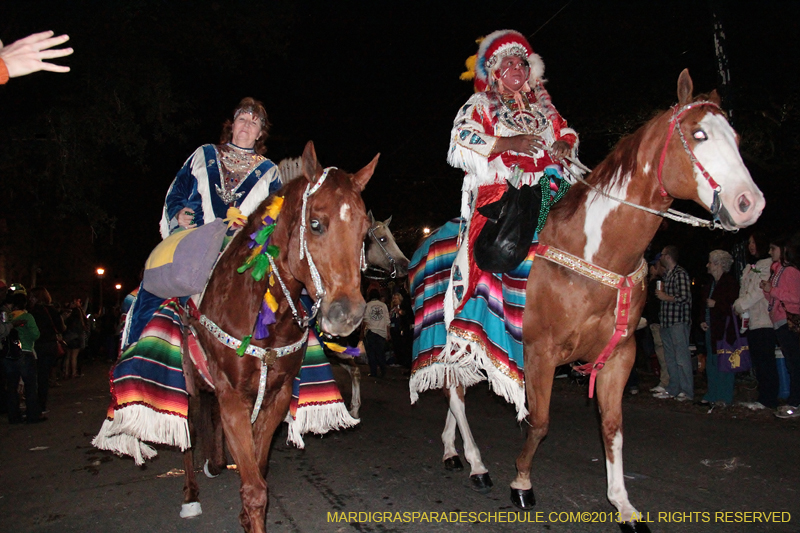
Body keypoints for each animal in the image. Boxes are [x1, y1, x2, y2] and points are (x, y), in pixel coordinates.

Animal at [183, 139, 380, 528]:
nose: (348, 314)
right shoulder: (232, 397)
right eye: (315, 223)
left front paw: (246, 516)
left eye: (366, 232)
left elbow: (258, 473)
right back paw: (190, 496)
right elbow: (255, 490)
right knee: (187, 435)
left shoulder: (275, 396)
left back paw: (215, 462)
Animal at [412, 71, 764, 532]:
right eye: (699, 134)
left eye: (736, 138)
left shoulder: (620, 355)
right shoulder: (539, 353)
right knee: (456, 394)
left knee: (456, 390)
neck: (597, 253)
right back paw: (476, 464)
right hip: (445, 334)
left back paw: (451, 451)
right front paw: (521, 482)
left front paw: (624, 505)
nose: (749, 204)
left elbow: (612, 427)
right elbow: (539, 422)